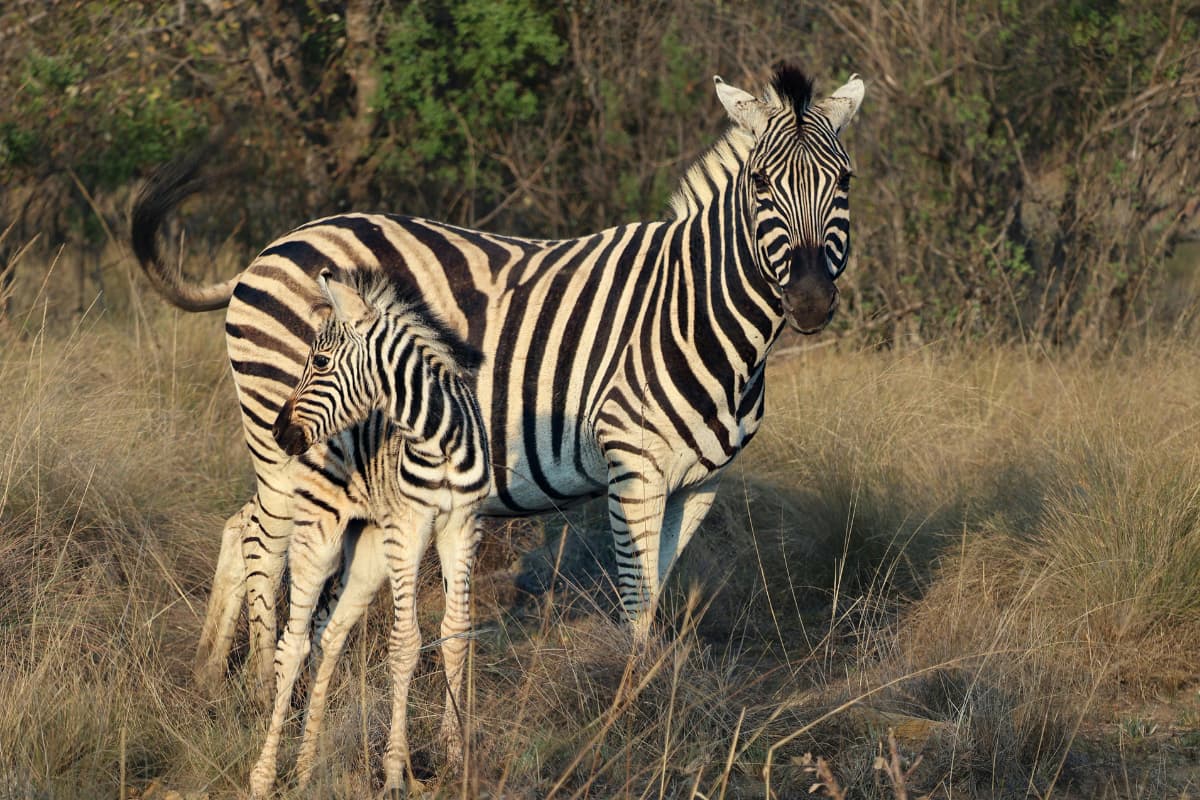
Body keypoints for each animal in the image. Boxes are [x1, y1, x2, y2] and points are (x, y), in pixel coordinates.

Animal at [130, 63, 864, 699]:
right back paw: (258, 684)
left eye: (846, 182)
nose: (809, 302)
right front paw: (628, 705)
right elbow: (634, 598)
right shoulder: (633, 464)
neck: (697, 312)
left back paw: (210, 671)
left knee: (242, 524)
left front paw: (650, 692)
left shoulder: (699, 482)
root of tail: (272, 247)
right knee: (265, 539)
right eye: (762, 184)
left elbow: (655, 593)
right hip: (290, 431)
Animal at [249, 269, 489, 797]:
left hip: (369, 554)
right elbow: (406, 643)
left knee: (331, 635)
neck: (439, 439)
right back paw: (263, 774)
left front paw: (456, 756)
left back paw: (305, 769)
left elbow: (455, 633)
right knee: (292, 646)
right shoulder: (408, 527)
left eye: (320, 361)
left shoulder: (463, 526)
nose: (279, 434)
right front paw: (397, 771)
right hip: (319, 536)